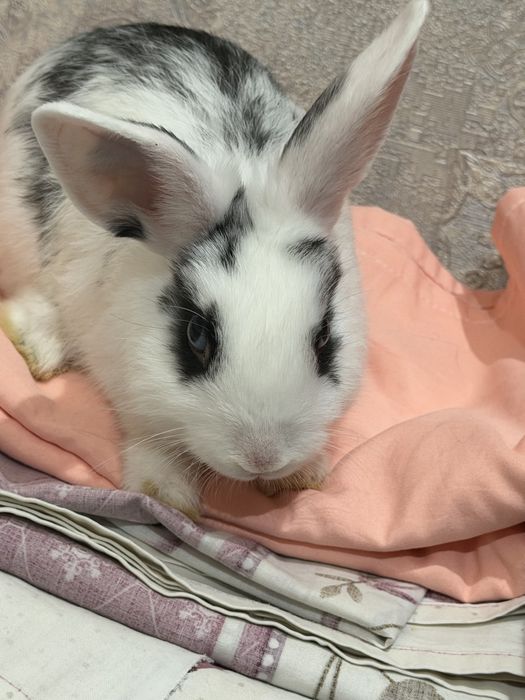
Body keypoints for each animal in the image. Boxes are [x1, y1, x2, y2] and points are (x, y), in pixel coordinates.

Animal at [0, 1, 428, 516]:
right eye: (197, 338)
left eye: (325, 338)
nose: (262, 456)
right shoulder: (131, 391)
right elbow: (149, 440)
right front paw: (166, 494)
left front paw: (303, 476)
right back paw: (40, 344)